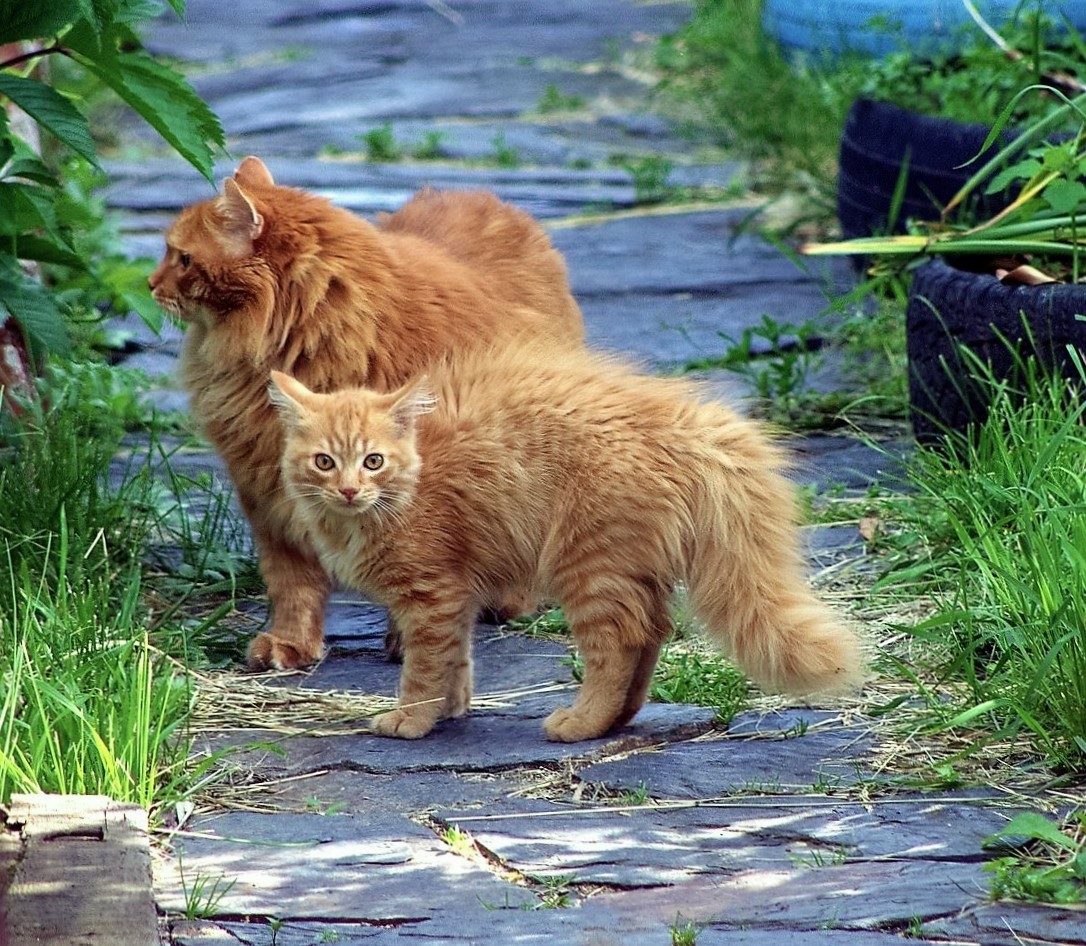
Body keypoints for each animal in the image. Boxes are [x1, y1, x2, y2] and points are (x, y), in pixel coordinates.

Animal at [150, 157, 586, 673]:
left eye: (182, 259)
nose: (150, 284)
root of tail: (479, 195)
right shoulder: (267, 495)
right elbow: (293, 584)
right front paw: (290, 644)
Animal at [271, 343, 864, 742]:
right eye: (324, 462)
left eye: (373, 461)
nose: (349, 489)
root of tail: (682, 423)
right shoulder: (455, 595)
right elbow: (456, 660)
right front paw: (451, 710)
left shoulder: (432, 594)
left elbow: (424, 668)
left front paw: (413, 717)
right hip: (625, 566)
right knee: (651, 634)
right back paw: (619, 719)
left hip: (589, 565)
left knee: (619, 645)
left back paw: (583, 722)